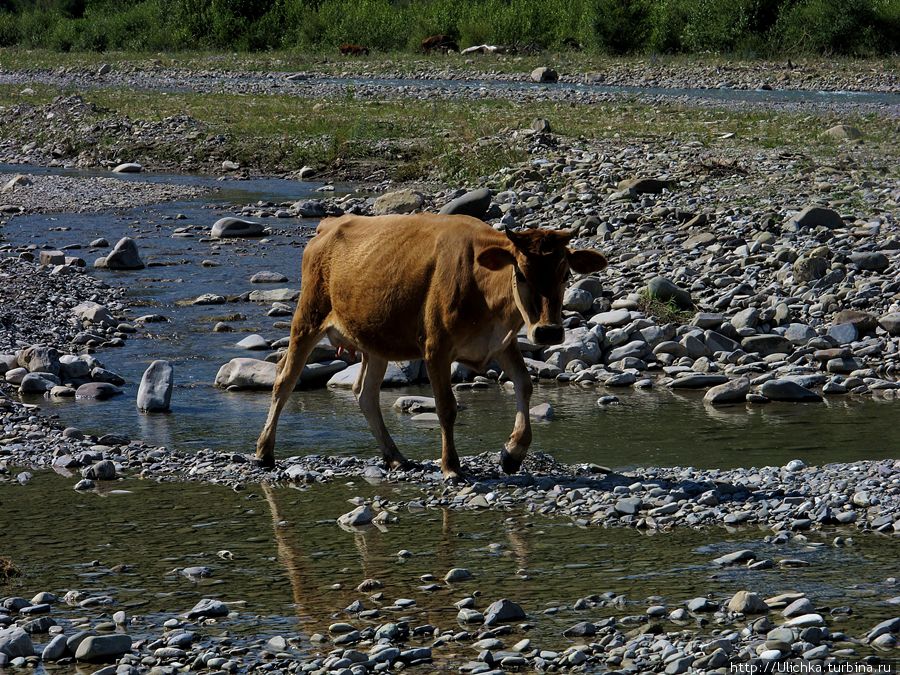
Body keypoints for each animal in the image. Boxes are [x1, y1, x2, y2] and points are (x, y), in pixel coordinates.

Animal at [253, 217, 604, 480]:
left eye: (565, 273)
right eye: (519, 273)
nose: (548, 331)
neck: (485, 290)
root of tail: (328, 225)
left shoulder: (501, 343)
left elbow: (525, 385)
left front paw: (513, 453)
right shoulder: (436, 347)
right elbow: (446, 407)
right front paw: (451, 467)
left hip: (375, 340)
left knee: (365, 393)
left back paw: (395, 457)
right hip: (308, 318)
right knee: (284, 380)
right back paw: (264, 452)